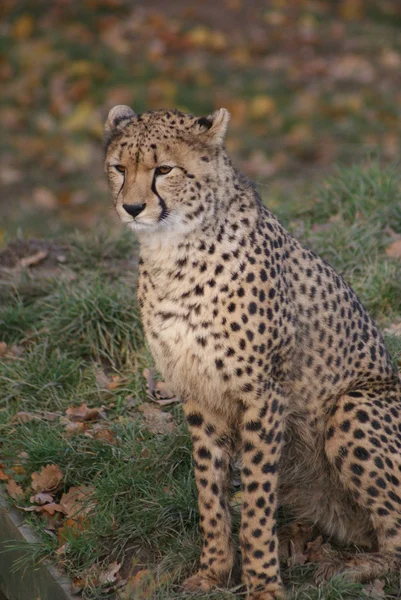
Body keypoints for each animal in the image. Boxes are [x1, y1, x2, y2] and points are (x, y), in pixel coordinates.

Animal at [104, 105, 400, 596]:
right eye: (119, 168)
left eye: (164, 169)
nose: (131, 207)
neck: (174, 249)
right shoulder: (198, 391)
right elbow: (210, 492)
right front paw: (213, 571)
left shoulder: (264, 394)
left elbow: (258, 503)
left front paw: (263, 584)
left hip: (352, 404)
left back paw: (349, 571)